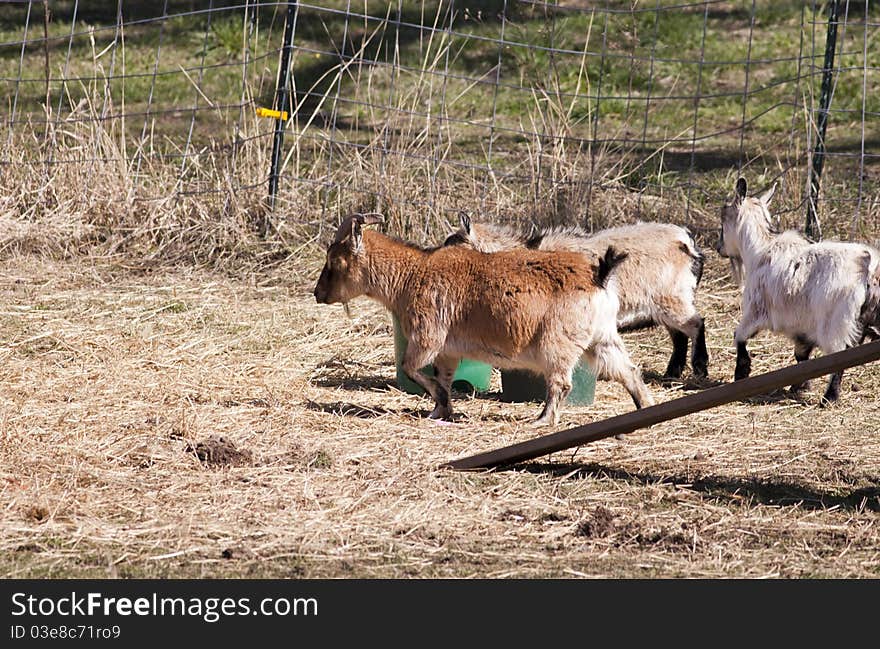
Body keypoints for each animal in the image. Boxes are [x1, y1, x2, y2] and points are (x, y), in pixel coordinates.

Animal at [314, 213, 652, 426]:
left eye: (334, 260)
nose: (317, 293)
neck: (413, 273)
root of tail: (599, 274)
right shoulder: (448, 351)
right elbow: (443, 378)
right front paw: (440, 411)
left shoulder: (427, 337)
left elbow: (411, 368)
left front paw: (442, 404)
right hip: (602, 339)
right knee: (629, 371)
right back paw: (643, 408)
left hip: (558, 344)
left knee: (561, 383)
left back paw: (543, 420)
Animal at [716, 176, 880, 400]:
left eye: (723, 221)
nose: (719, 248)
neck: (760, 250)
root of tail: (867, 266)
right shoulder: (802, 328)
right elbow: (801, 356)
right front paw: (800, 385)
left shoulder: (755, 311)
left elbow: (738, 336)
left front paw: (741, 373)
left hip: (836, 324)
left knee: (839, 357)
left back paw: (829, 397)